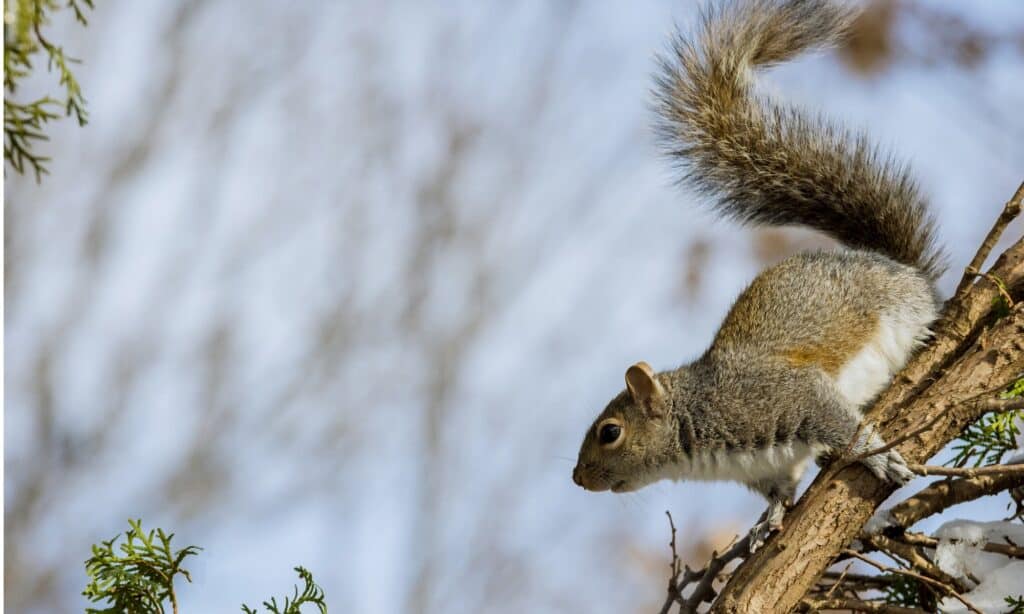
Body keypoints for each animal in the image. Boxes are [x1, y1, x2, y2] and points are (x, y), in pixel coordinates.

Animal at [569, 0, 942, 548]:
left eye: (609, 432)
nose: (577, 478)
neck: (696, 431)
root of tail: (898, 266)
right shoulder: (768, 467)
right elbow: (780, 492)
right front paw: (767, 523)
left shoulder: (788, 397)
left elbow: (838, 423)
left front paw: (878, 456)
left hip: (896, 306)